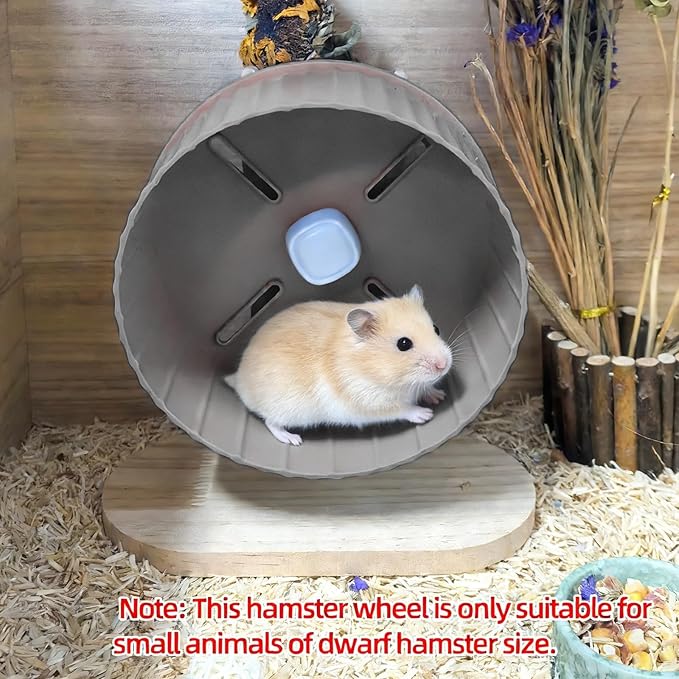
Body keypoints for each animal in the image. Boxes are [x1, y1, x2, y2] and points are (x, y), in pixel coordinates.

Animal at [224, 285, 453, 446]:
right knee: (270, 423)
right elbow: (403, 409)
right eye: (403, 344)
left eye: (436, 329)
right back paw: (293, 440)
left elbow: (425, 389)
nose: (444, 365)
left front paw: (439, 396)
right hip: (286, 410)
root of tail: (238, 379)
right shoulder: (370, 404)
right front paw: (426, 415)